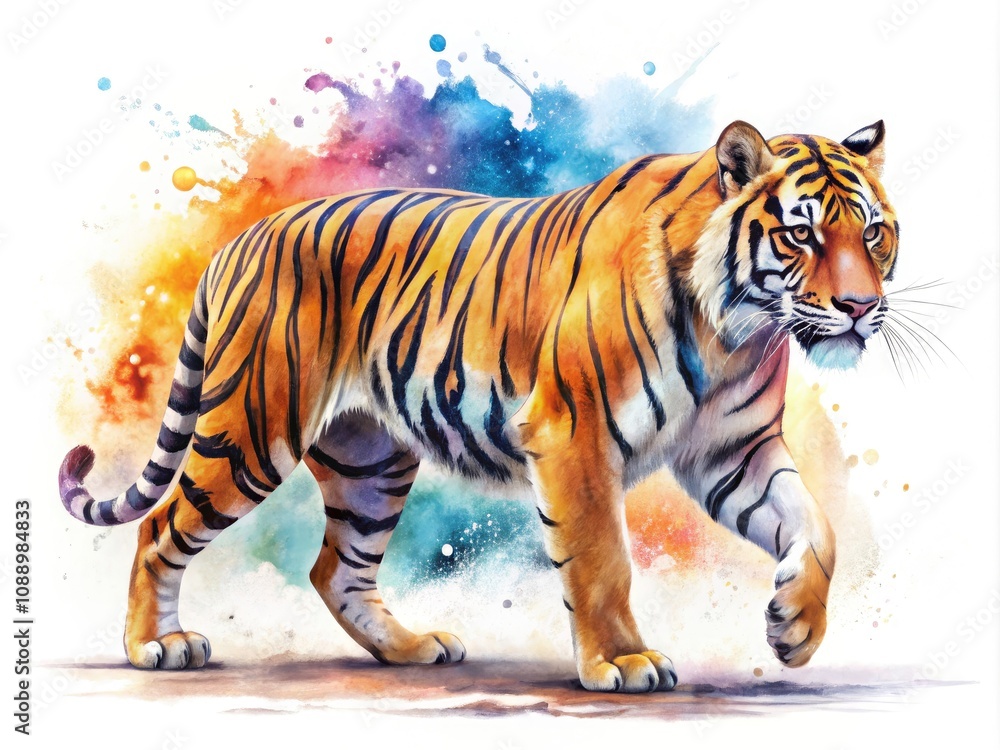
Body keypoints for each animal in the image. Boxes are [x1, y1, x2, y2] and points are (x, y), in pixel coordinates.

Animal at [58, 119, 897, 692]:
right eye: (800, 235)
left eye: (875, 233)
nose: (861, 308)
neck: (740, 328)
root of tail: (241, 242)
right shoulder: (573, 434)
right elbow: (602, 559)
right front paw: (623, 659)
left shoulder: (734, 452)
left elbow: (816, 527)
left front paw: (795, 628)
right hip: (251, 434)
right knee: (161, 528)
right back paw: (157, 646)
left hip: (371, 461)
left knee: (336, 569)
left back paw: (411, 650)